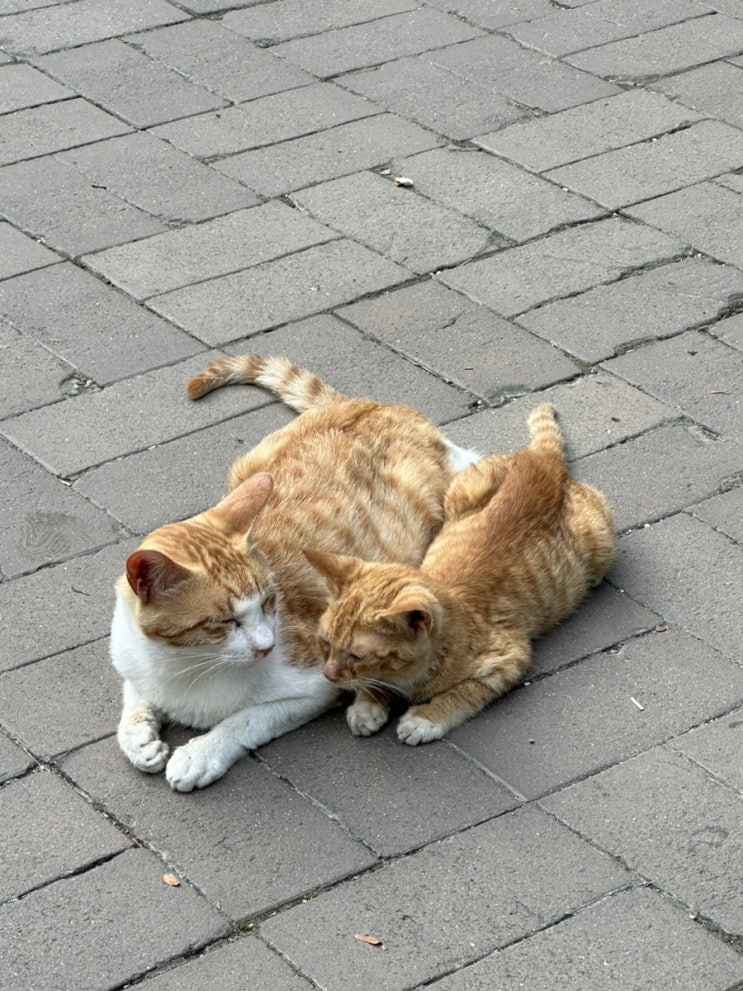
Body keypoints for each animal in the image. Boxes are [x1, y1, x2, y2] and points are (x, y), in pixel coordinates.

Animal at [110, 355, 480, 790]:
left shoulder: (314, 687)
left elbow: (245, 720)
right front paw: (138, 737)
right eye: (224, 621)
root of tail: (369, 404)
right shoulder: (133, 656)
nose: (266, 646)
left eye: (270, 601)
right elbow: (133, 696)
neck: (183, 667)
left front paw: (200, 754)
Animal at [305, 403, 615, 745]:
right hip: (462, 486)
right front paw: (367, 704)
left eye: (357, 656)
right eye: (325, 643)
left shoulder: (508, 658)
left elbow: (463, 694)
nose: (328, 675)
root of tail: (542, 461)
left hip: (600, 535)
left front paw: (426, 718)